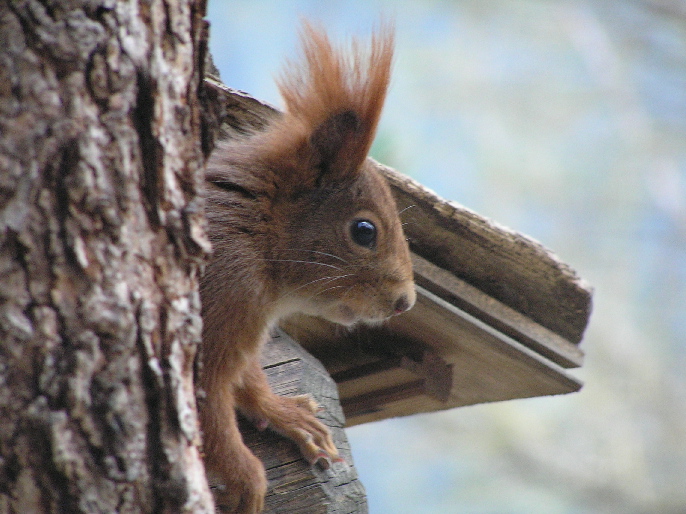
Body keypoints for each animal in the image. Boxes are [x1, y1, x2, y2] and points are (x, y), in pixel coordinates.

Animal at [199, 25, 414, 512]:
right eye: (364, 230)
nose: (404, 302)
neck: (258, 231)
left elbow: (247, 378)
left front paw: (286, 415)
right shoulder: (226, 293)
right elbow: (208, 408)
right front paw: (246, 482)